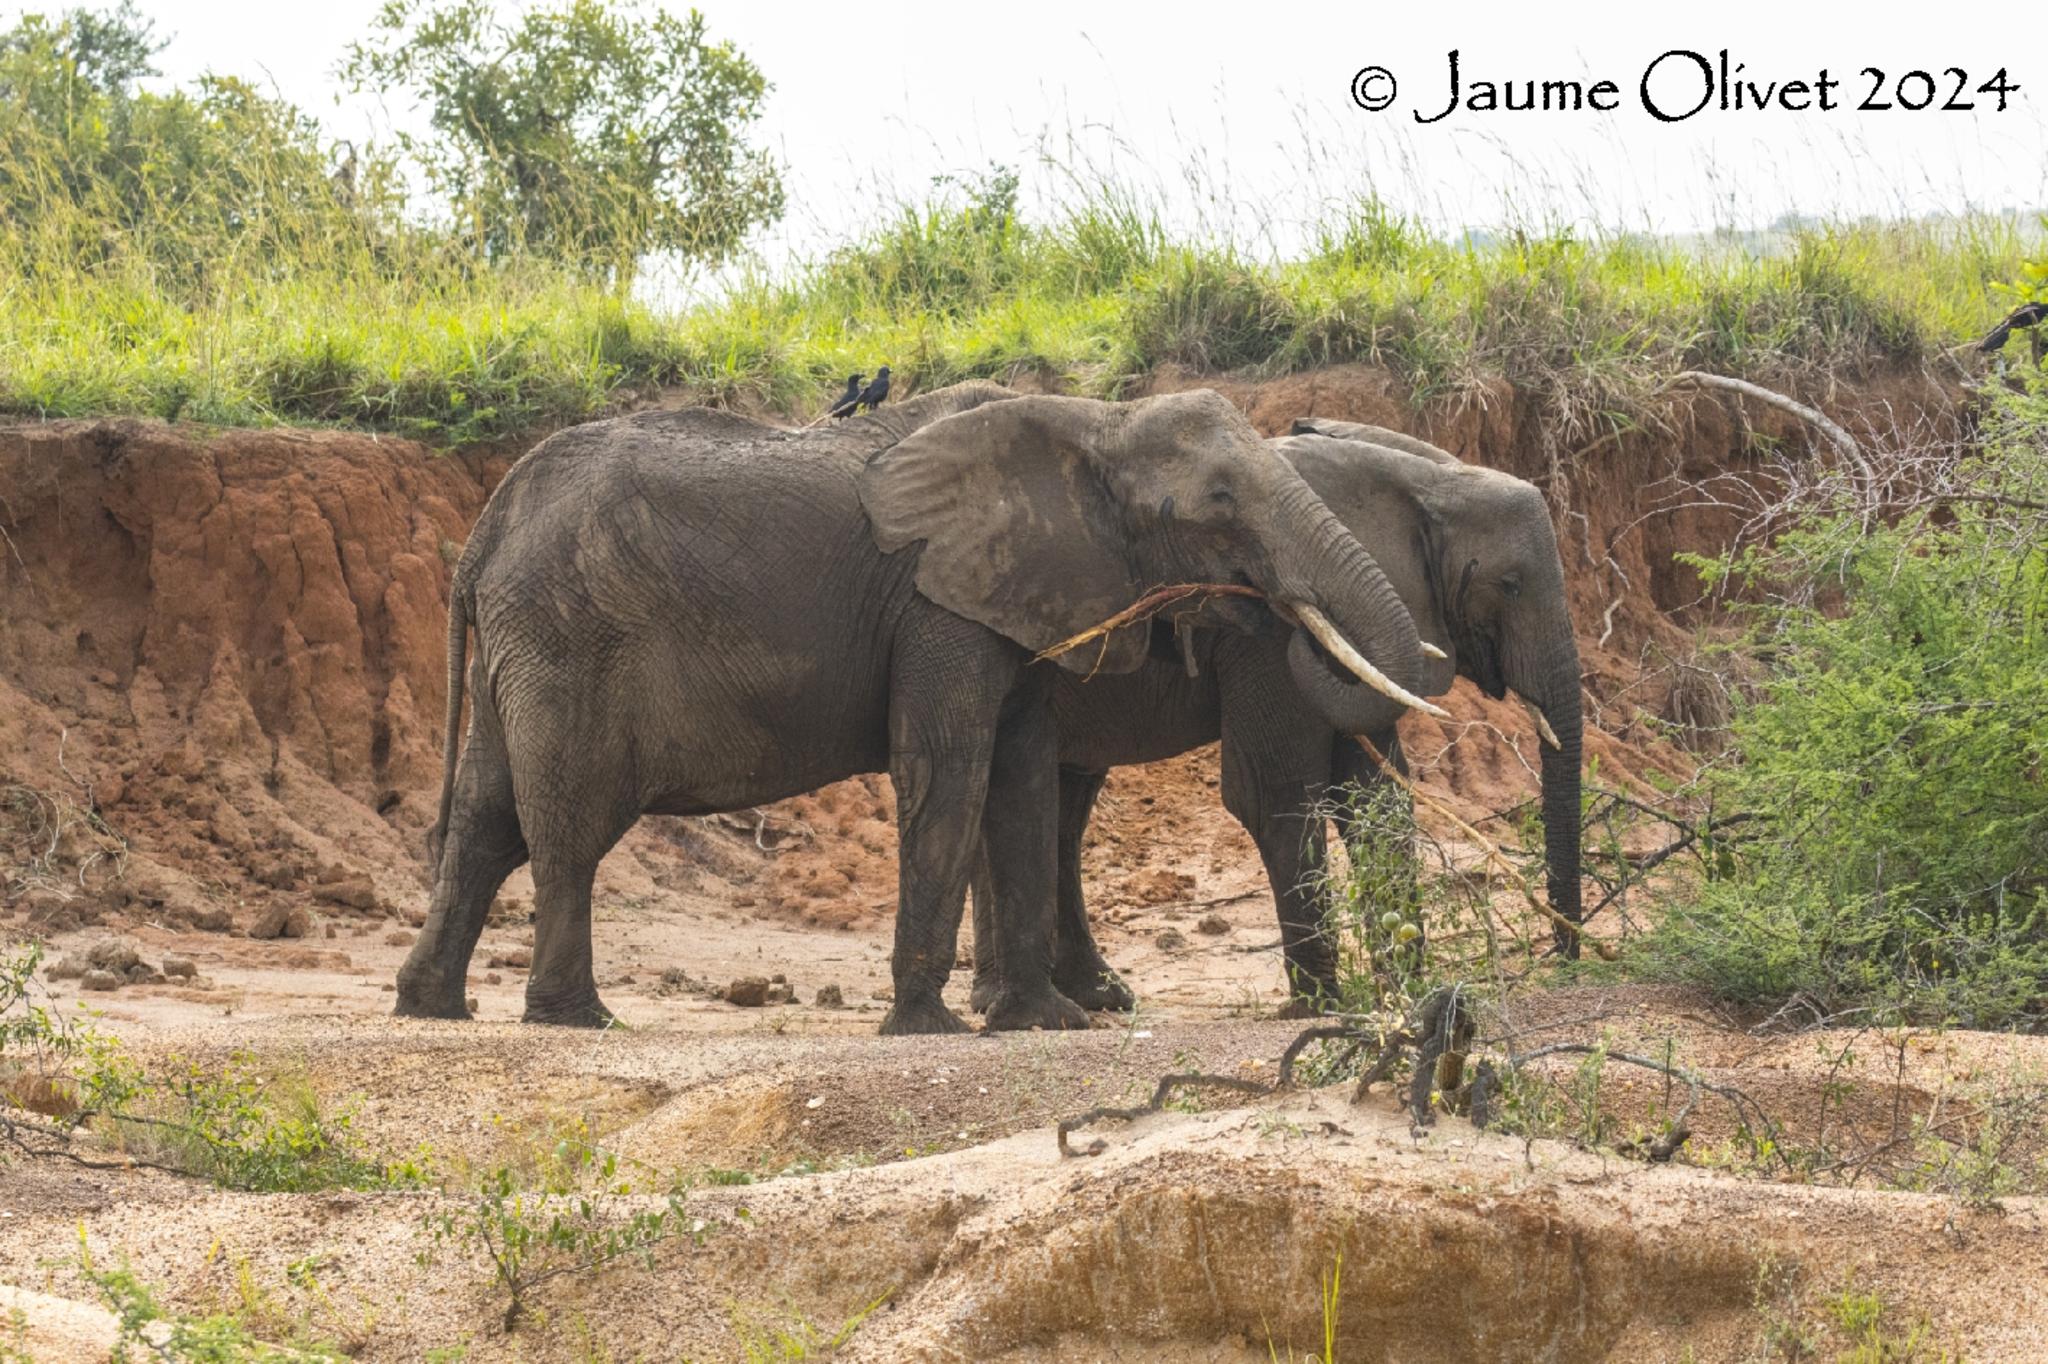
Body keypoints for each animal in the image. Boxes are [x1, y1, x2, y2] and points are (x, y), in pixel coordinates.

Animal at [391, 382, 1433, 1032]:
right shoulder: (939, 604)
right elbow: (950, 768)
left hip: (524, 643)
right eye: (1218, 502)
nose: (1274, 615)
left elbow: (1021, 779)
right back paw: (581, 1019)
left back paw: (431, 1006)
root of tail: (482, 530)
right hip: (568, 639)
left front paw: (1040, 1023)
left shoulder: (1015, 599)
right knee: (565, 826)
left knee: (484, 817)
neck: (1093, 423)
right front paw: (930, 1027)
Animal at [970, 419, 1581, 1015]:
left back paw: (1095, 996)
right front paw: (1322, 1006)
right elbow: (1274, 793)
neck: (1428, 480)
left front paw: (1408, 990)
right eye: (1510, 585)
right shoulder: (1268, 634)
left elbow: (1374, 797)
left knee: (1063, 806)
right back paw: (1008, 999)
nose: (1567, 961)